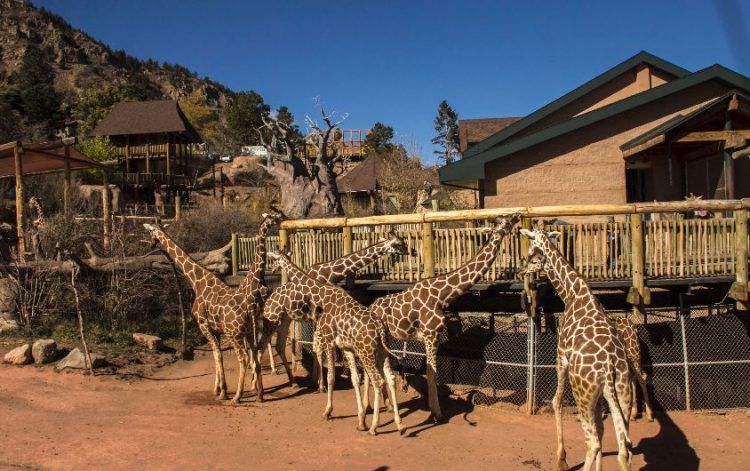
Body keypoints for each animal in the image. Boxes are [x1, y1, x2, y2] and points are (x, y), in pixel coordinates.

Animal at [258, 232, 412, 390]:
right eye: (399, 244)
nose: (408, 251)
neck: (329, 273)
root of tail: (269, 296)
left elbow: (318, 346)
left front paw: (319, 381)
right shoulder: (317, 316)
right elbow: (318, 347)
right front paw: (321, 384)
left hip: (285, 319)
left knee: (278, 345)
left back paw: (291, 381)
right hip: (273, 319)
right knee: (263, 344)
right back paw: (265, 380)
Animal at [268, 253, 406, 436]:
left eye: (274, 259)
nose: (271, 269)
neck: (322, 295)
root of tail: (380, 329)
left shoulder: (329, 340)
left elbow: (331, 377)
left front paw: (327, 411)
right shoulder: (346, 347)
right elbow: (354, 379)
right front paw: (361, 420)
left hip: (367, 352)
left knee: (378, 380)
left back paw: (374, 427)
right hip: (381, 352)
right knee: (390, 378)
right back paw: (400, 425)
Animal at [368, 216, 520, 422]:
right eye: (504, 223)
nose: (516, 217)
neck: (442, 294)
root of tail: (370, 307)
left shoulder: (434, 336)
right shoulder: (431, 335)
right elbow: (432, 373)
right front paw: (437, 413)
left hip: (386, 337)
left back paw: (389, 405)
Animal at [524, 230, 636, 471]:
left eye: (531, 253)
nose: (522, 269)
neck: (572, 293)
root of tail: (610, 367)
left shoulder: (561, 356)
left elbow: (556, 402)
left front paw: (562, 459)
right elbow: (602, 429)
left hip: (583, 393)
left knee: (592, 441)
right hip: (621, 394)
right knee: (624, 449)